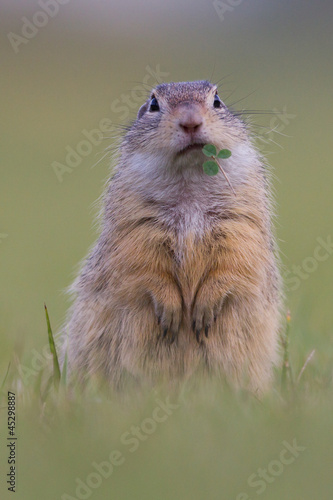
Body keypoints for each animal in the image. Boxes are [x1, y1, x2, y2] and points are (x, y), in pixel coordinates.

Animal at [63, 80, 282, 392]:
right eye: (153, 105)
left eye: (217, 100)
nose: (190, 121)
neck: (190, 183)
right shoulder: (137, 228)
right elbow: (142, 266)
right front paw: (171, 310)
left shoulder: (241, 223)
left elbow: (236, 261)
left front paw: (204, 309)